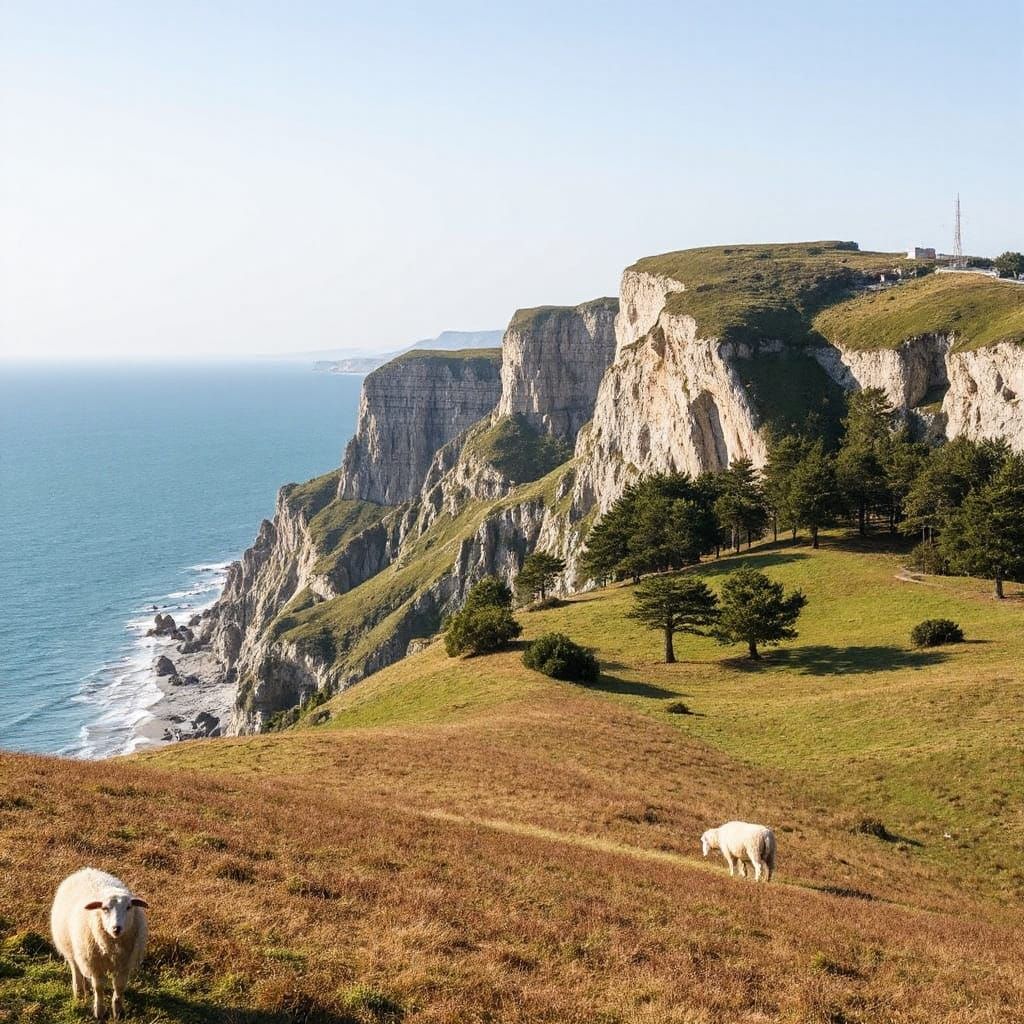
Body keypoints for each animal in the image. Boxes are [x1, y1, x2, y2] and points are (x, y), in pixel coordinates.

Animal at [50, 868, 149, 1020]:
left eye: (128, 907)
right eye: (104, 908)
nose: (116, 928)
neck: (113, 948)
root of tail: (85, 870)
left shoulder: (124, 965)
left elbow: (119, 987)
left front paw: (118, 1012)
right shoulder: (95, 964)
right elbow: (99, 988)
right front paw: (99, 1011)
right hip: (70, 947)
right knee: (76, 969)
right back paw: (79, 993)